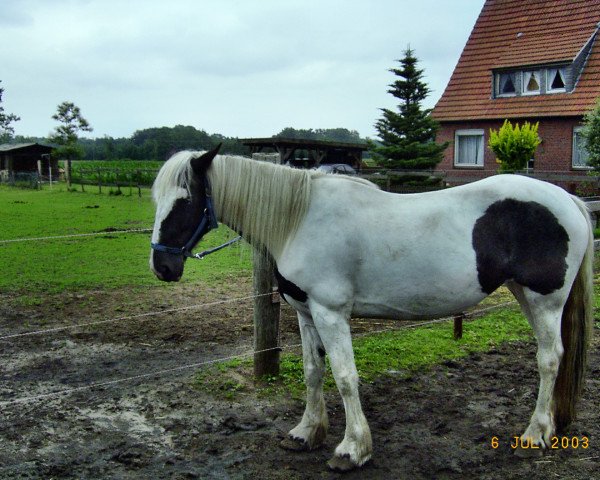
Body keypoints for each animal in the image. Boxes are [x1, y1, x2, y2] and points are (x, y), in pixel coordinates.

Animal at [149, 147, 592, 472]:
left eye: (185, 200)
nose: (162, 267)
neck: (299, 219)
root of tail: (568, 198)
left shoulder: (330, 313)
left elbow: (345, 378)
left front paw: (352, 449)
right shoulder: (306, 314)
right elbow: (313, 372)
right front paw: (306, 433)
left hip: (544, 300)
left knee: (549, 359)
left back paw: (534, 436)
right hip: (524, 294)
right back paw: (552, 426)